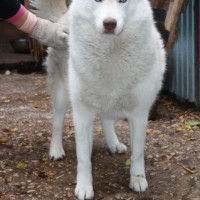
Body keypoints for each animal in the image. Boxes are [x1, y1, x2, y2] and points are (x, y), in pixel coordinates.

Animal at [29, 0, 165, 198]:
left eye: (123, 1)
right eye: (97, 1)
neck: (110, 52)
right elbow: (83, 158)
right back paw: (56, 149)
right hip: (63, 95)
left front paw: (138, 179)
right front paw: (84, 187)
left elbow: (138, 153)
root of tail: (64, 17)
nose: (110, 23)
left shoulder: (139, 114)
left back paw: (113, 143)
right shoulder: (82, 114)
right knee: (57, 123)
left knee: (106, 119)